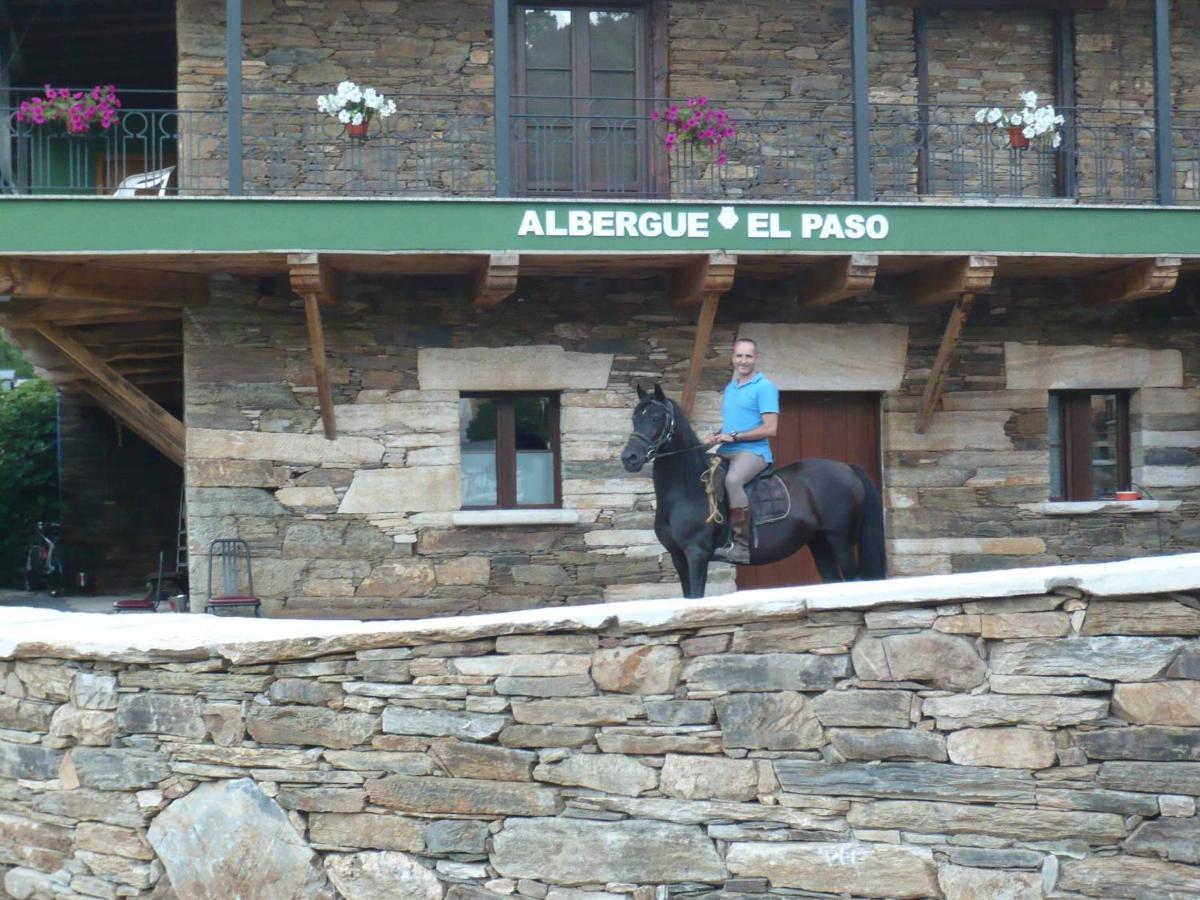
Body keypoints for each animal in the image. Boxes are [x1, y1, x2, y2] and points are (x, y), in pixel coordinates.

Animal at [624, 381, 888, 600]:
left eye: (657, 418)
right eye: (635, 418)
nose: (629, 458)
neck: (687, 491)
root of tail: (848, 469)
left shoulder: (696, 555)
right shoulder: (678, 557)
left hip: (841, 543)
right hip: (819, 543)